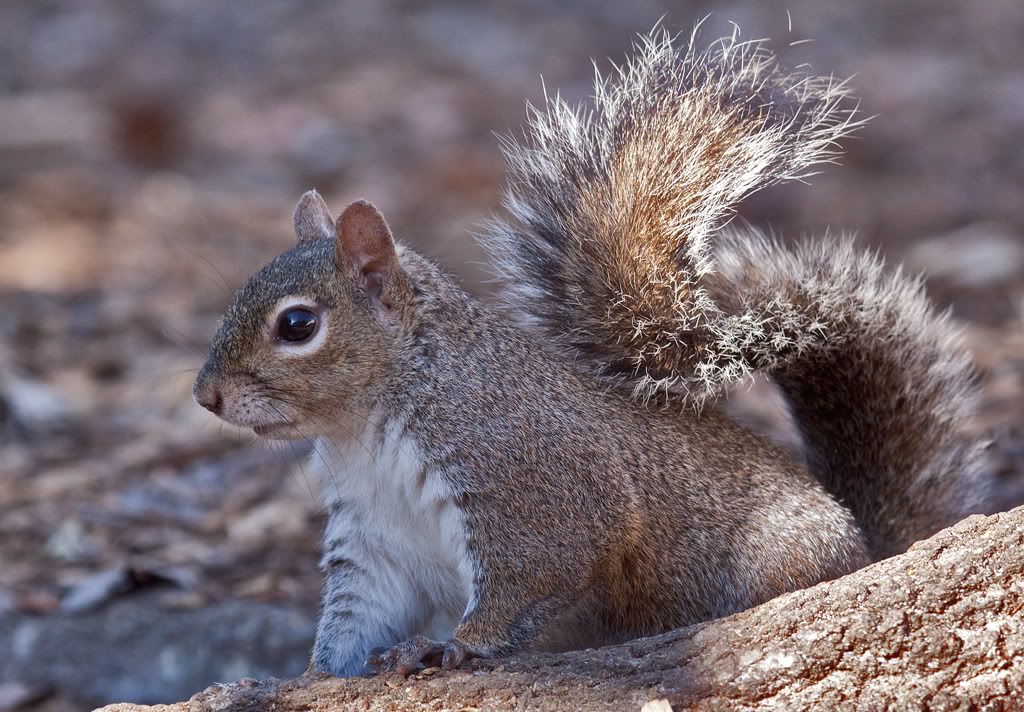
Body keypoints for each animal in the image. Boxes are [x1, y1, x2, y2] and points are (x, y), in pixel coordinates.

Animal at [193, 27, 990, 677]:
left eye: (298, 325)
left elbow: (531, 580)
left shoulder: (531, 485)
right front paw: (312, 677)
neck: (366, 430)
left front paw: (454, 646)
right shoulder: (374, 540)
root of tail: (872, 550)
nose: (206, 395)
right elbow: (357, 617)